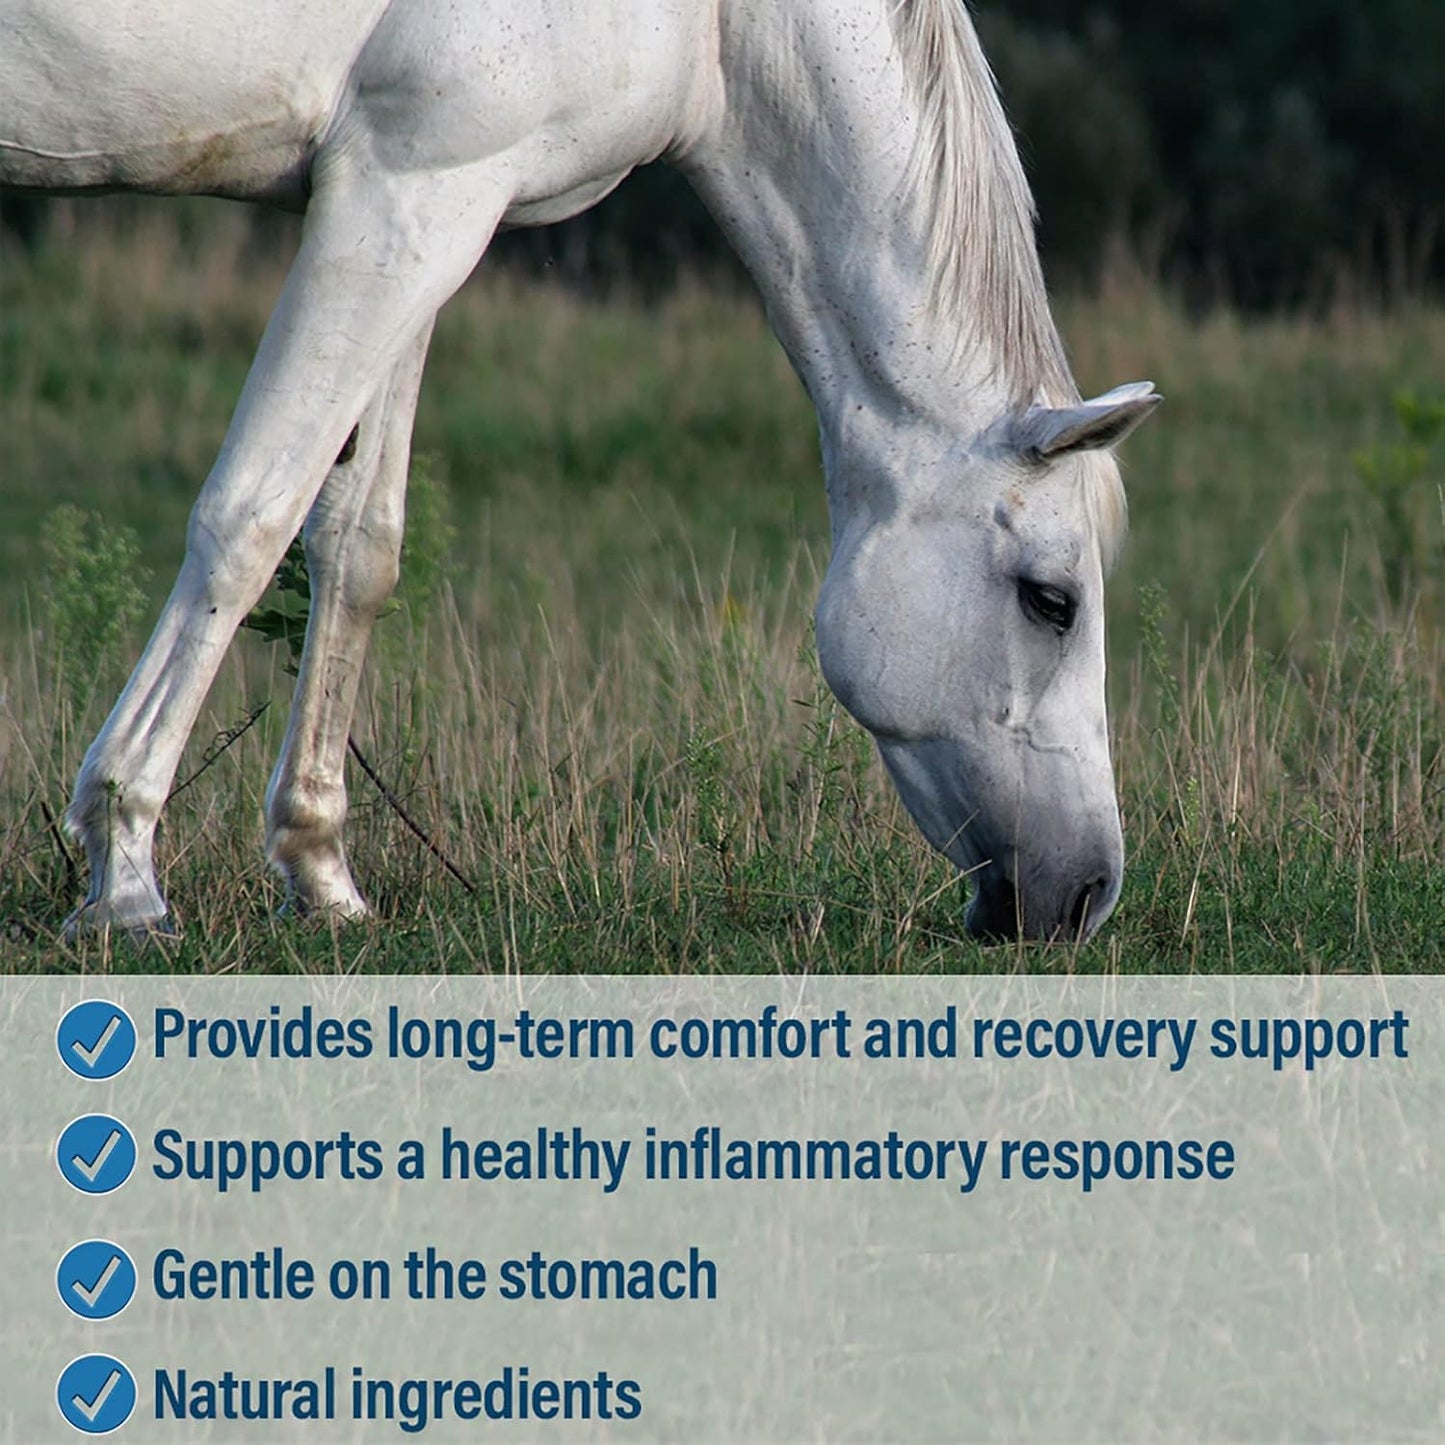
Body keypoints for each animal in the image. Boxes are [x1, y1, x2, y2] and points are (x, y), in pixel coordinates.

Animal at [0, 0, 1158, 943]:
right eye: (1050, 601)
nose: (1087, 894)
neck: (718, 24)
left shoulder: (422, 211)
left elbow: (358, 546)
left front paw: (319, 871)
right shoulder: (407, 190)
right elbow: (247, 519)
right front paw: (123, 872)